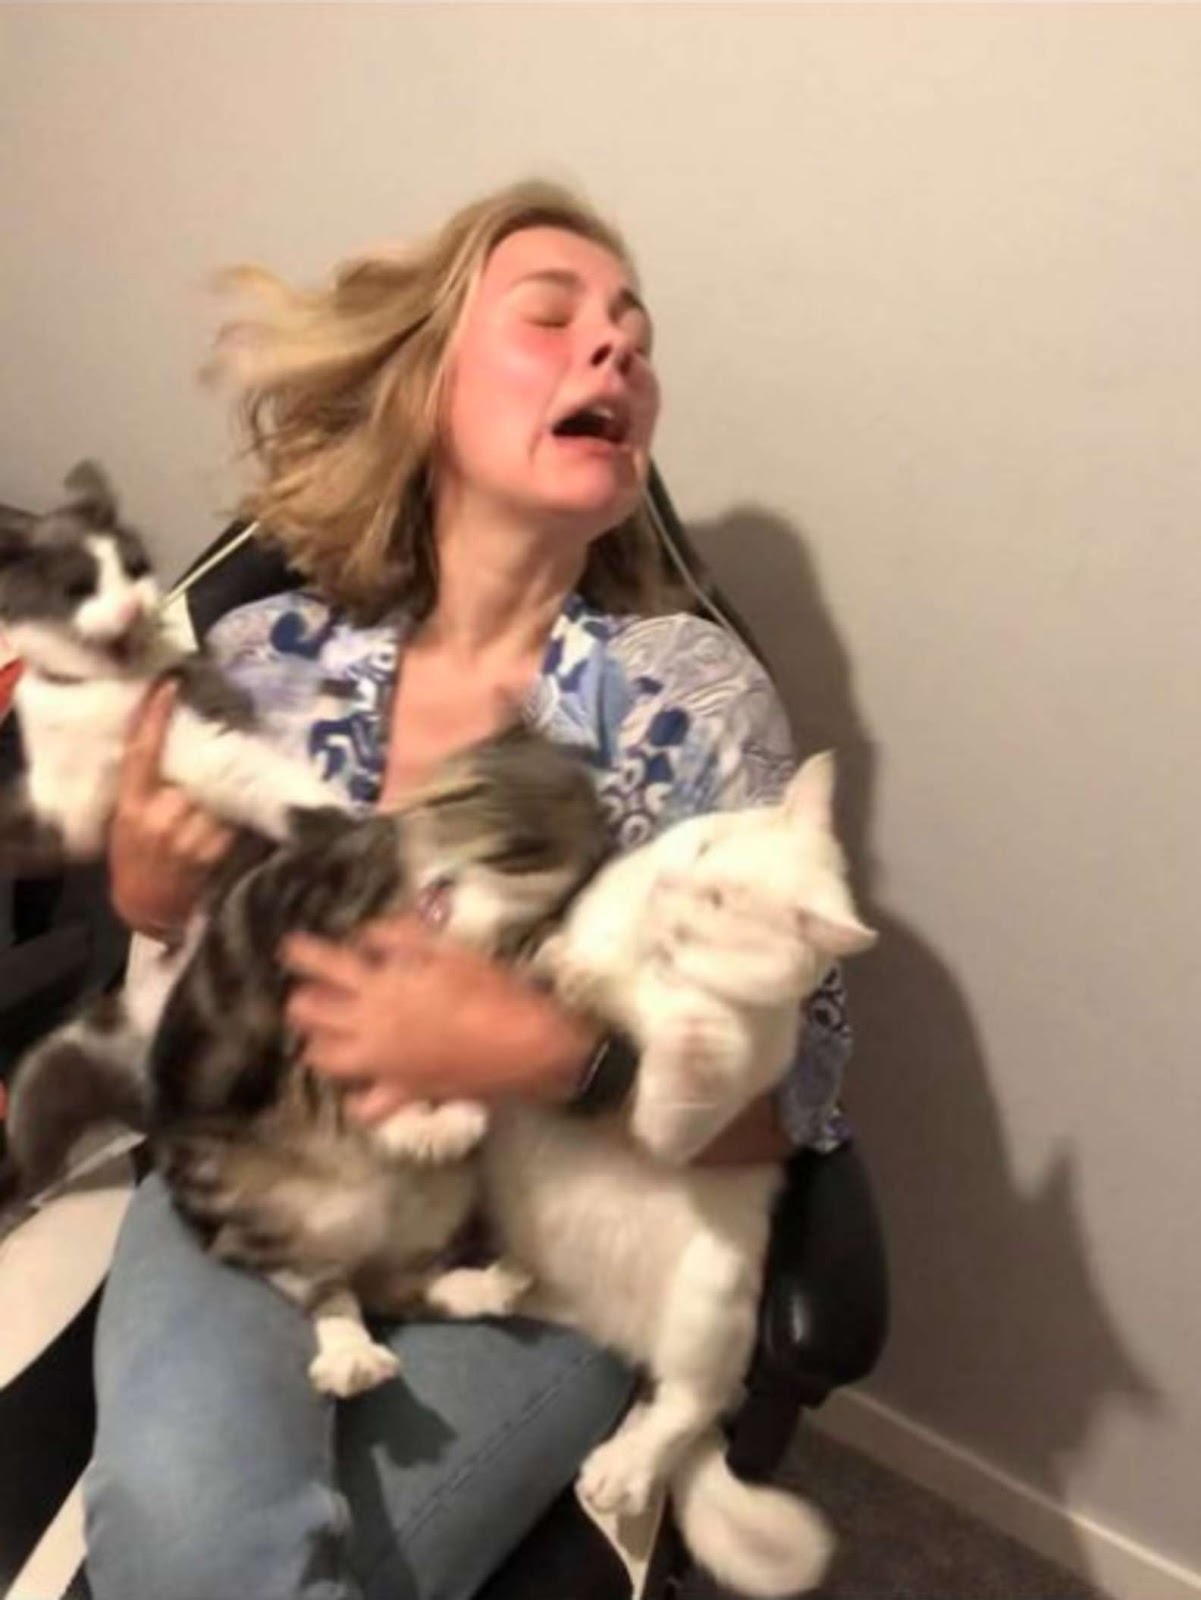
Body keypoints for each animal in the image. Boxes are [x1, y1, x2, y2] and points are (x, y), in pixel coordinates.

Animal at [0, 459, 338, 873]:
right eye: (78, 589)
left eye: (135, 569)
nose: (132, 607)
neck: (99, 686)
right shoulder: (62, 811)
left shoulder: (193, 728)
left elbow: (249, 773)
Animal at [1, 723, 611, 1398]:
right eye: (446, 788)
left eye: (463, 798)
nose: (396, 816)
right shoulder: (304, 984)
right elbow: (343, 1076)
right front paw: (419, 1124)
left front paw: (568, 965)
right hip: (253, 1219)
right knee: (326, 1287)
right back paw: (354, 1353)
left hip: (440, 1208)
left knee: (393, 1286)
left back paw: (483, 1283)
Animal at [473, 751, 877, 1599]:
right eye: (705, 844)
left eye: (721, 901)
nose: (672, 883)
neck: (654, 964)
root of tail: (626, 1336)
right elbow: (582, 955)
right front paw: (576, 971)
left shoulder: (680, 1124)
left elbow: (688, 1068)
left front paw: (689, 1028)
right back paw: (495, 1287)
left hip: (712, 1294)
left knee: (688, 1406)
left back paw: (621, 1472)